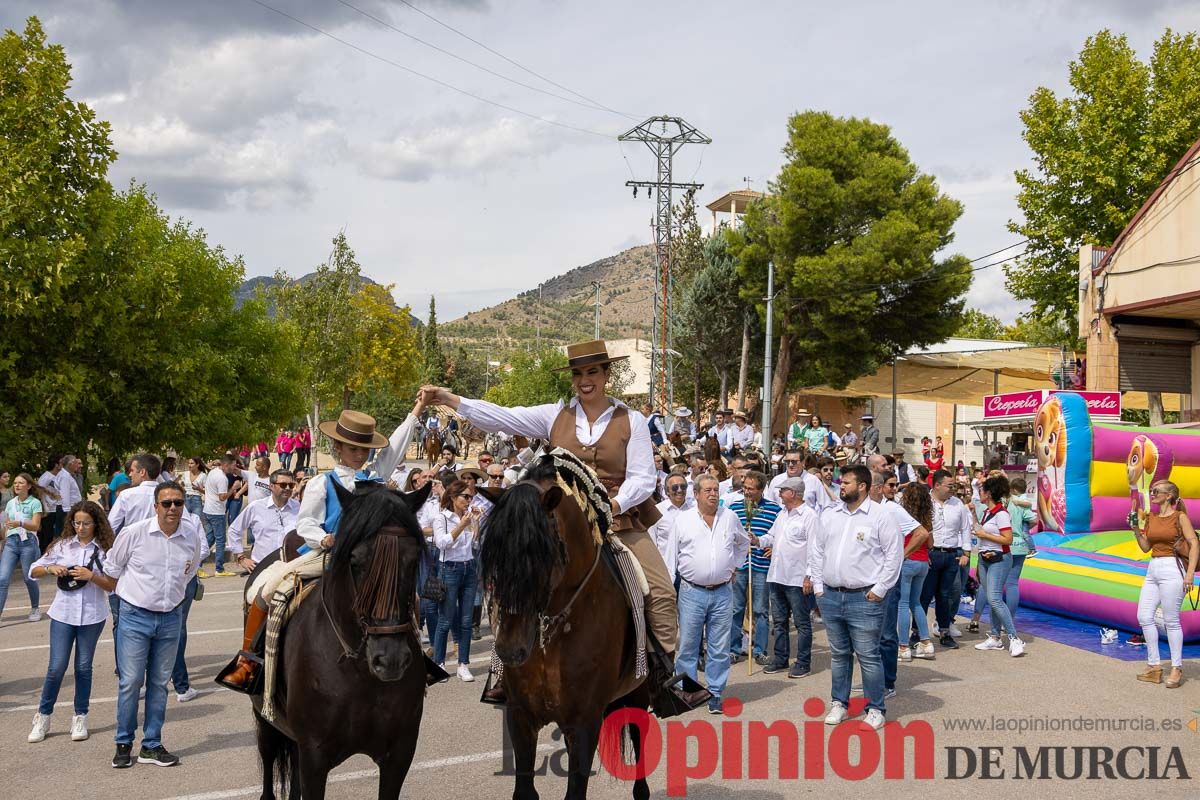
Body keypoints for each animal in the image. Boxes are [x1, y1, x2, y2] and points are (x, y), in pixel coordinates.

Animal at [480, 455, 652, 800]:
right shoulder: (520, 717)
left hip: (638, 691)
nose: (510, 649)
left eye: (541, 554)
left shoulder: (584, 722)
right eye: (494, 555)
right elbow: (524, 790)